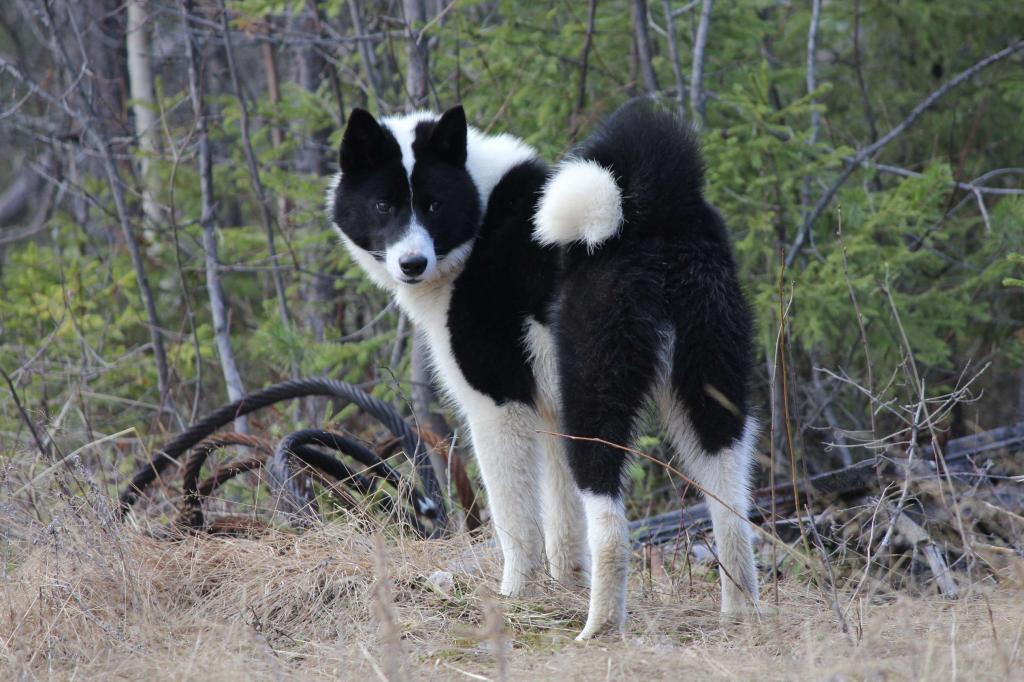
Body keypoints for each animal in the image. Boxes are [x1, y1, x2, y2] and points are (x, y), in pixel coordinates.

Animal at [327, 102, 761, 638]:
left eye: (433, 206)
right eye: (384, 205)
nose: (412, 263)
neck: (479, 219)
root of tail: (648, 213)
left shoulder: (498, 406)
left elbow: (518, 524)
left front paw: (515, 598)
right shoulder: (551, 415)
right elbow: (563, 525)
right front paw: (564, 588)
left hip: (592, 403)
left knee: (611, 529)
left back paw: (598, 629)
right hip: (709, 393)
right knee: (732, 509)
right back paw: (739, 616)